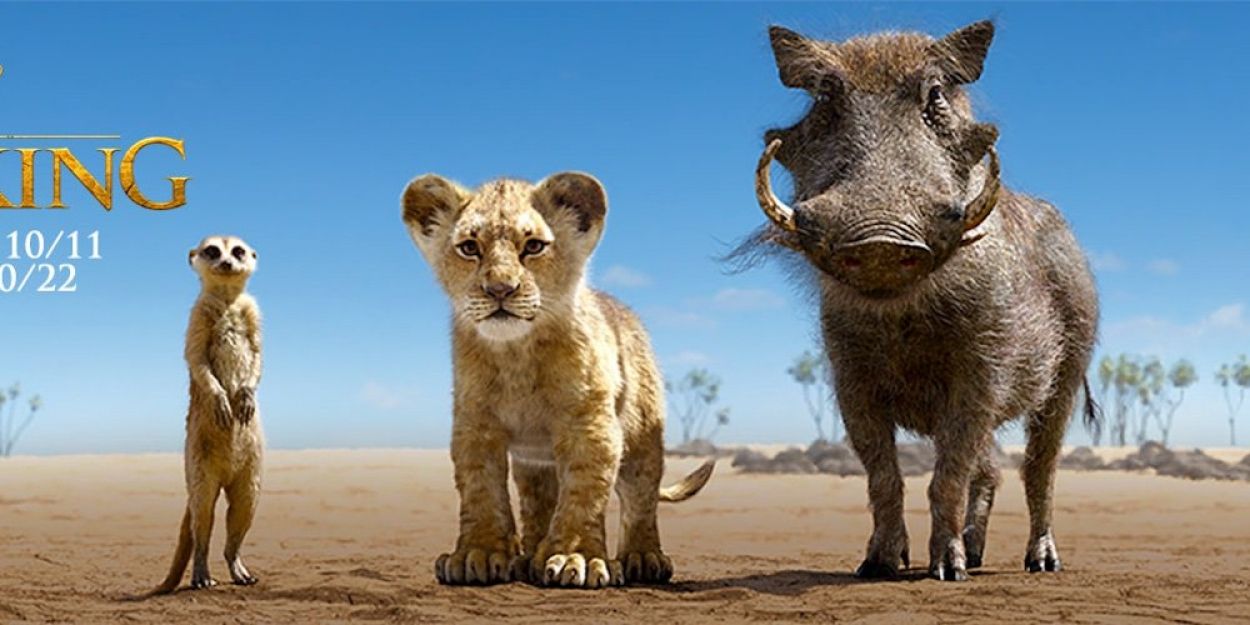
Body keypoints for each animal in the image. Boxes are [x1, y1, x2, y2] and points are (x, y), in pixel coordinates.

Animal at [401, 172, 714, 588]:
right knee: (539, 500)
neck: (516, 353)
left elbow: (583, 492)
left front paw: (575, 558)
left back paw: (643, 558)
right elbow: (480, 489)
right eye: (469, 247)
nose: (500, 289)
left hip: (643, 437)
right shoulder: (475, 425)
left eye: (533, 246)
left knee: (640, 496)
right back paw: (529, 558)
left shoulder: (589, 423)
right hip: (535, 462)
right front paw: (477, 555)